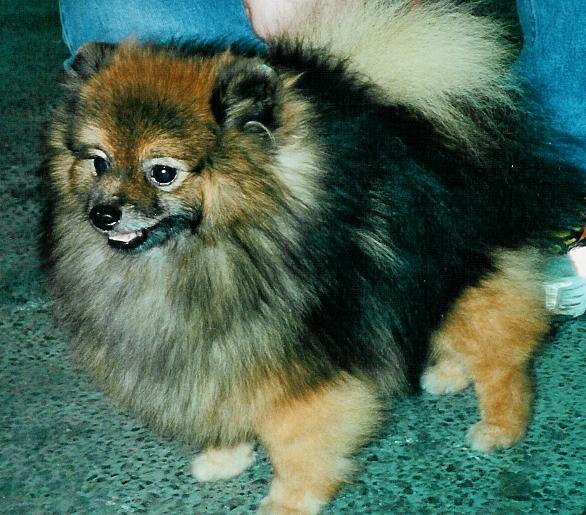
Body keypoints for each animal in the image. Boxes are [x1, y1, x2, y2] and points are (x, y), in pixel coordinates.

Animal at [44, 1, 584, 512]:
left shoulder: (299, 366)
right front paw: (225, 457)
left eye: (162, 172)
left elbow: (298, 444)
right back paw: (447, 374)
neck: (207, 252)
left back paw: (500, 427)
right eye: (98, 162)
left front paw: (289, 501)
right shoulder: (220, 356)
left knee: (502, 360)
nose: (103, 214)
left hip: (473, 277)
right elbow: (229, 409)